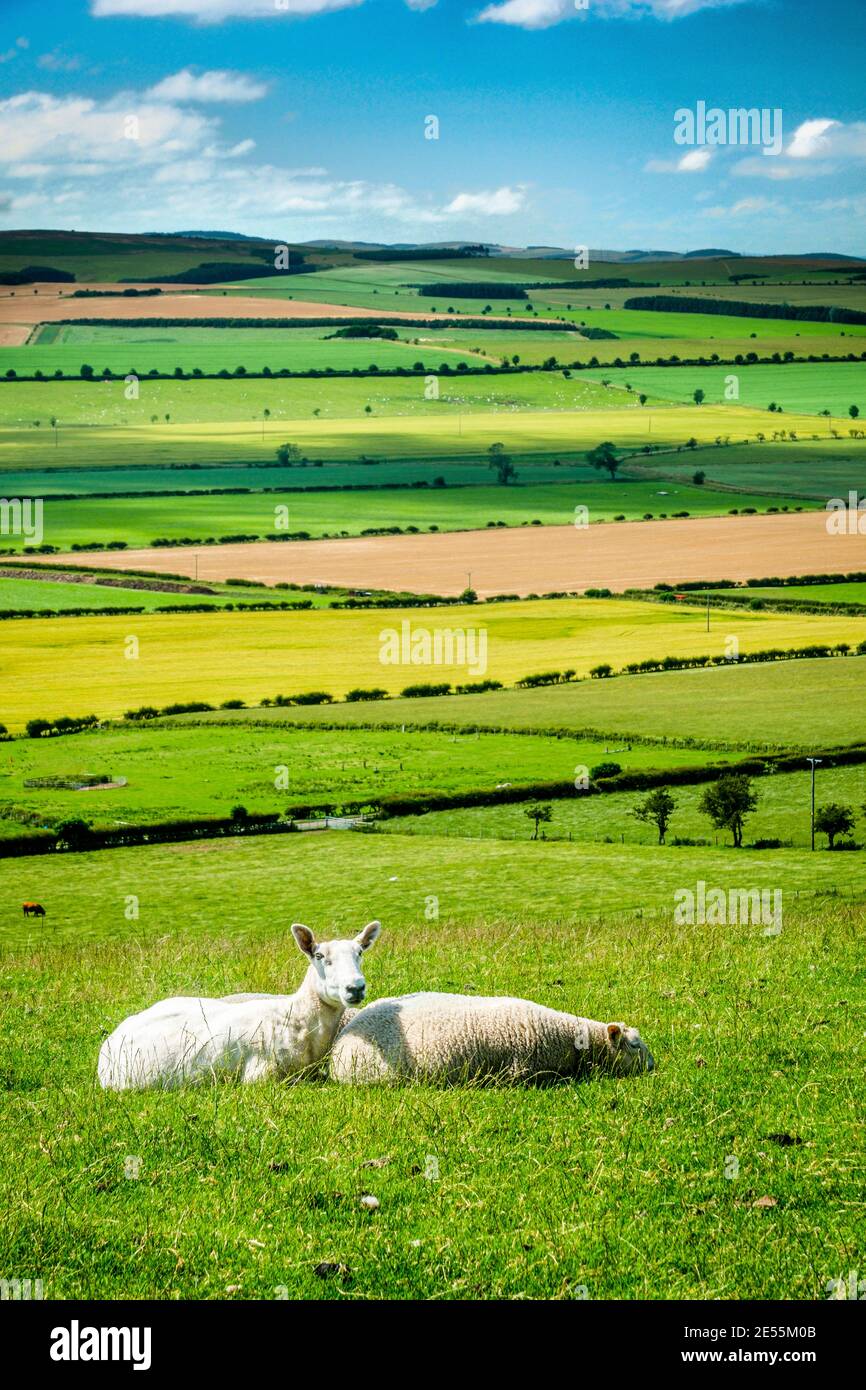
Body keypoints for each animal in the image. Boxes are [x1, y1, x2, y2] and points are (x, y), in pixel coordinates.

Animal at [98, 920, 381, 1091]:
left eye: (359, 953)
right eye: (319, 956)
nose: (355, 987)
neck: (297, 1018)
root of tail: (113, 1037)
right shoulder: (260, 1077)